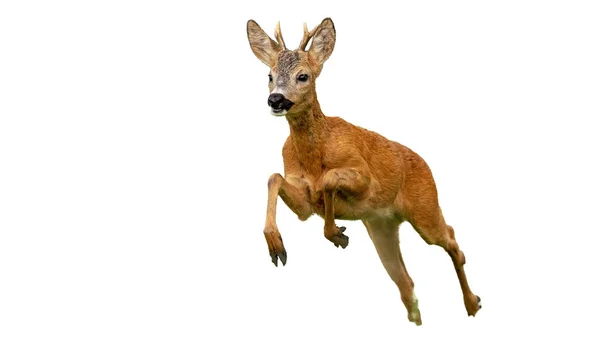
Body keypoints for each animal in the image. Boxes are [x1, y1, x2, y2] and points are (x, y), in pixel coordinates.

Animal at [246, 17, 480, 322]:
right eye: (270, 75)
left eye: (303, 76)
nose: (276, 100)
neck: (314, 155)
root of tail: (426, 165)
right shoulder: (304, 202)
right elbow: (274, 177)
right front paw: (277, 246)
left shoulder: (365, 178)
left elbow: (330, 179)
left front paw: (335, 233)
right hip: (381, 226)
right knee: (406, 281)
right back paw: (419, 316)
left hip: (425, 208)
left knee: (451, 239)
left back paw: (472, 304)